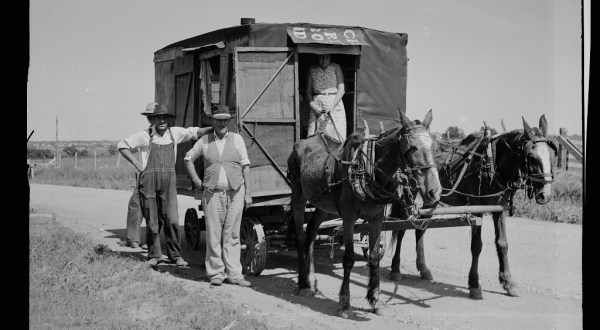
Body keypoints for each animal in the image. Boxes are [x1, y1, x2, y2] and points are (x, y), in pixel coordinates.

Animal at [286, 109, 440, 318]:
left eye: (434, 147)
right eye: (413, 148)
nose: (434, 191)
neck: (368, 170)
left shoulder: (377, 218)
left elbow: (374, 258)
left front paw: (375, 300)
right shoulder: (349, 217)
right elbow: (349, 258)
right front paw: (344, 302)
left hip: (324, 206)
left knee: (310, 232)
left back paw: (311, 278)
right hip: (299, 197)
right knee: (301, 238)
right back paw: (303, 284)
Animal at [386, 115, 556, 300]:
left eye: (551, 154)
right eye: (531, 156)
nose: (545, 194)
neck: (492, 162)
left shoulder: (499, 209)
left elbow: (502, 244)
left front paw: (508, 282)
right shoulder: (476, 208)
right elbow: (476, 246)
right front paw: (474, 284)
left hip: (431, 199)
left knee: (420, 228)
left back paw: (423, 268)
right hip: (409, 198)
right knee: (401, 228)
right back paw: (395, 269)